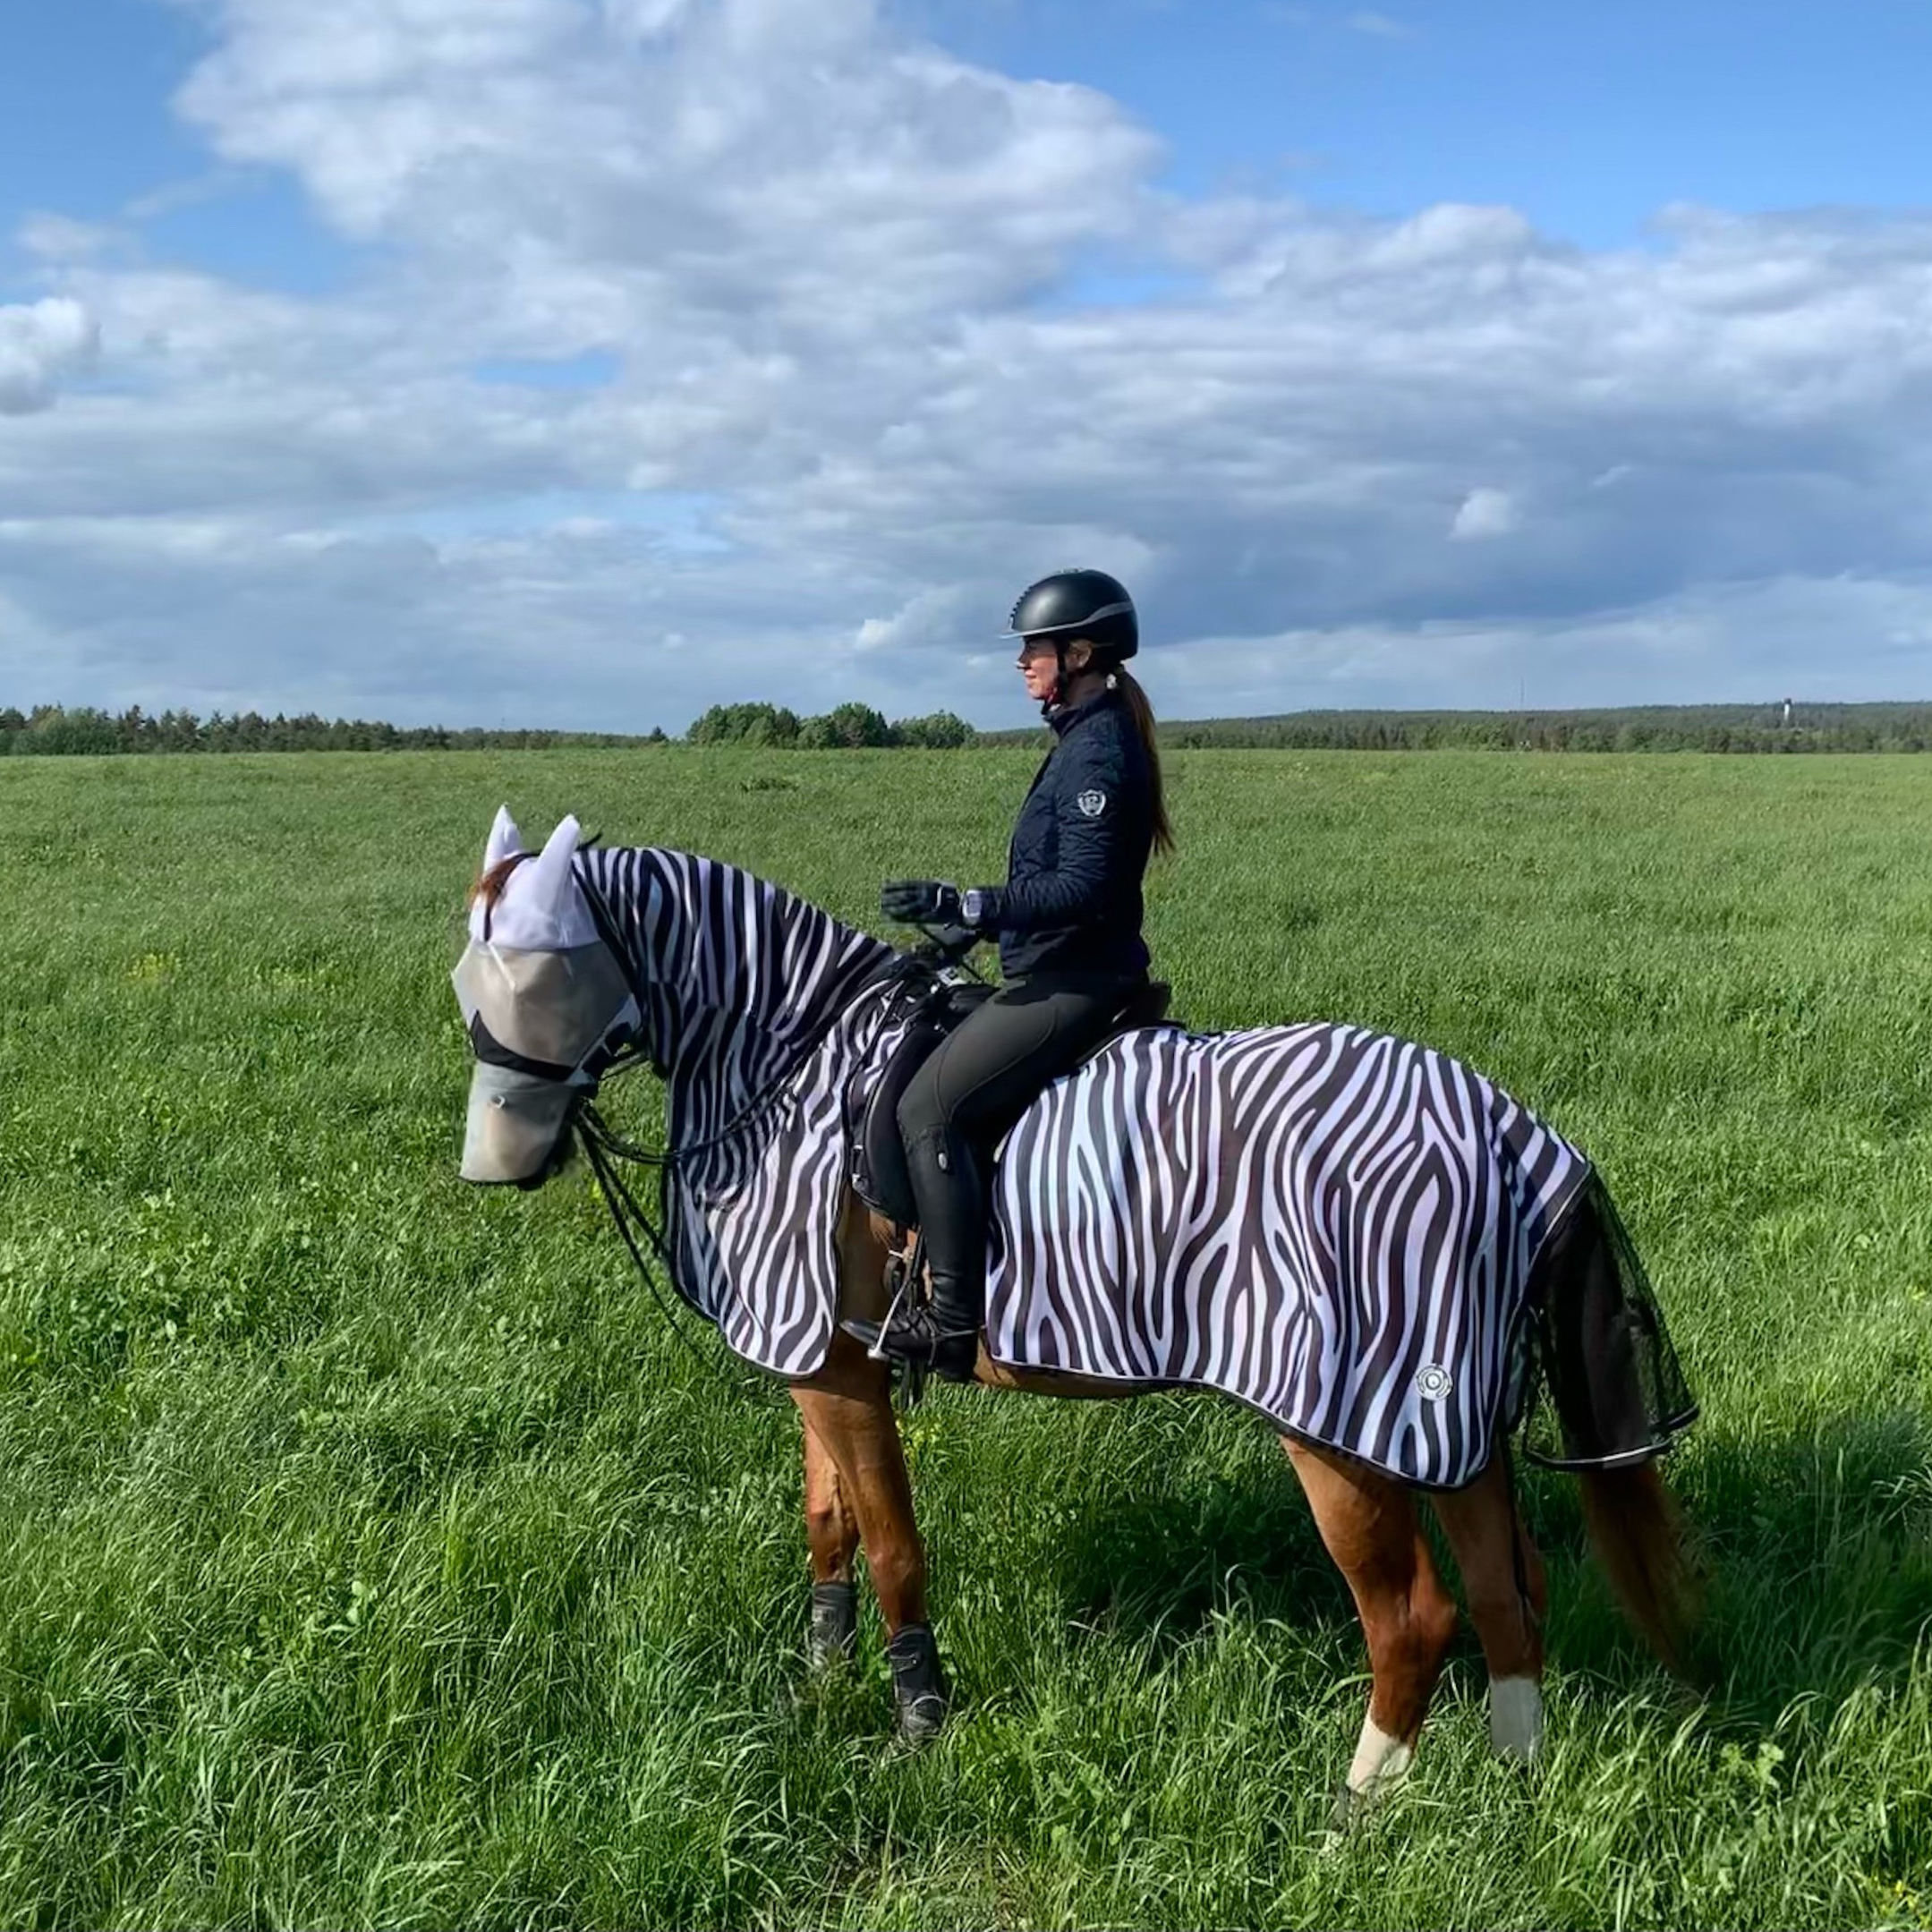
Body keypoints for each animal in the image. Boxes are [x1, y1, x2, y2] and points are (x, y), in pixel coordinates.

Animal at [455, 807, 1697, 1815]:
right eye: (468, 987)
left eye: (541, 976)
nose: (492, 1165)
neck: (795, 1066)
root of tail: (1504, 1126)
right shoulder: (826, 1356)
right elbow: (828, 1525)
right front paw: (819, 1681)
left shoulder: (837, 1364)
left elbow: (893, 1544)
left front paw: (916, 1720)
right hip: (1451, 1414)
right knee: (1507, 1588)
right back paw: (1513, 1777)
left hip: (1345, 1420)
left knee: (1413, 1619)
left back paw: (1350, 1816)